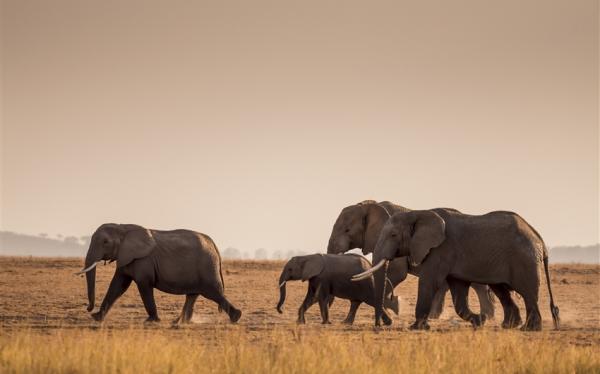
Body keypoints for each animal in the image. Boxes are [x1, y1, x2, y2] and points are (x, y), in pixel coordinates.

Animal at [77, 224, 241, 322]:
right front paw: (96, 318)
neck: (122, 227)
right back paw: (179, 323)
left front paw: (152, 321)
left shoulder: (143, 261)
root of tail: (214, 244)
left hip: (206, 266)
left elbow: (143, 285)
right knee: (193, 295)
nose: (87, 308)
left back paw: (236, 317)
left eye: (105, 242)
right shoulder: (126, 257)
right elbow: (118, 285)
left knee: (212, 292)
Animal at [354, 209, 560, 332]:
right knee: (502, 290)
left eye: (393, 235)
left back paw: (529, 329)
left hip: (524, 259)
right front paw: (479, 321)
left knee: (528, 293)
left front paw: (416, 327)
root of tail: (539, 239)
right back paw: (509, 326)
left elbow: (429, 281)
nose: (378, 326)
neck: (418, 213)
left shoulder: (440, 250)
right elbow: (459, 291)